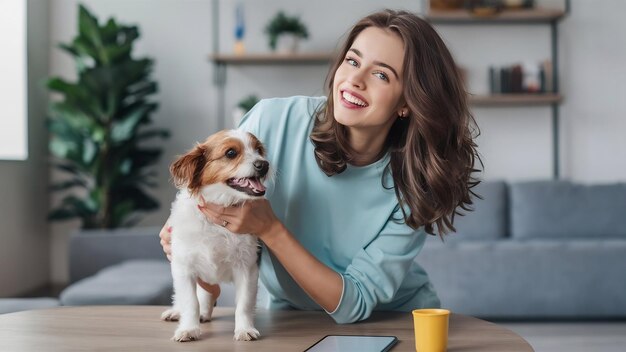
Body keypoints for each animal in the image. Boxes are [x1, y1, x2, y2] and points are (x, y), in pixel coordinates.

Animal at [161, 129, 268, 340]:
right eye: (231, 153)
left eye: (259, 150)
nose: (264, 165)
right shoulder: (184, 268)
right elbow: (190, 303)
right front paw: (189, 329)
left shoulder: (247, 268)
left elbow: (243, 305)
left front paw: (244, 329)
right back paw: (177, 312)